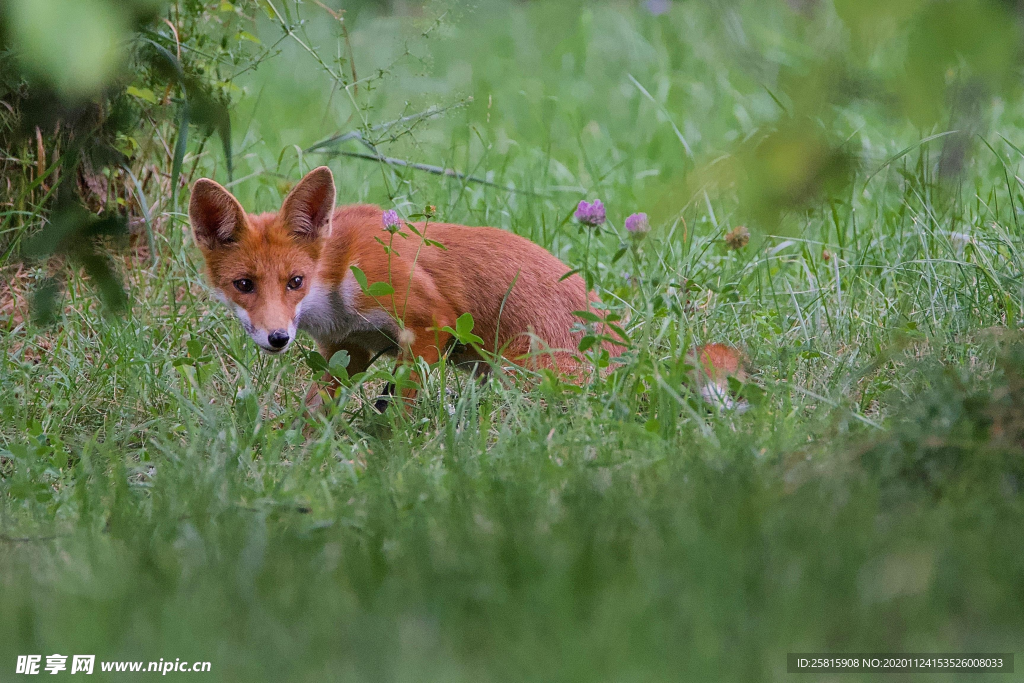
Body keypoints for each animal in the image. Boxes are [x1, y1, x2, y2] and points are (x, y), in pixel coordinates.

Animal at [190, 165, 622, 409]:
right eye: (244, 284)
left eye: (295, 281)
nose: (277, 338)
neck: (336, 281)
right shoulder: (348, 349)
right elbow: (312, 413)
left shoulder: (430, 322)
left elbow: (398, 411)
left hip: (517, 373)